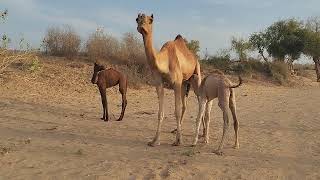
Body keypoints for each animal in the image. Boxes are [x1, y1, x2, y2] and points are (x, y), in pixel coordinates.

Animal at [136, 13, 201, 146]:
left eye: (151, 20)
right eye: (137, 19)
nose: (141, 27)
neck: (164, 62)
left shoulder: (176, 84)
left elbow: (176, 111)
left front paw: (178, 141)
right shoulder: (159, 84)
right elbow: (160, 113)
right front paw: (154, 140)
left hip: (196, 74)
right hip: (185, 83)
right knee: (185, 105)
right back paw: (176, 129)